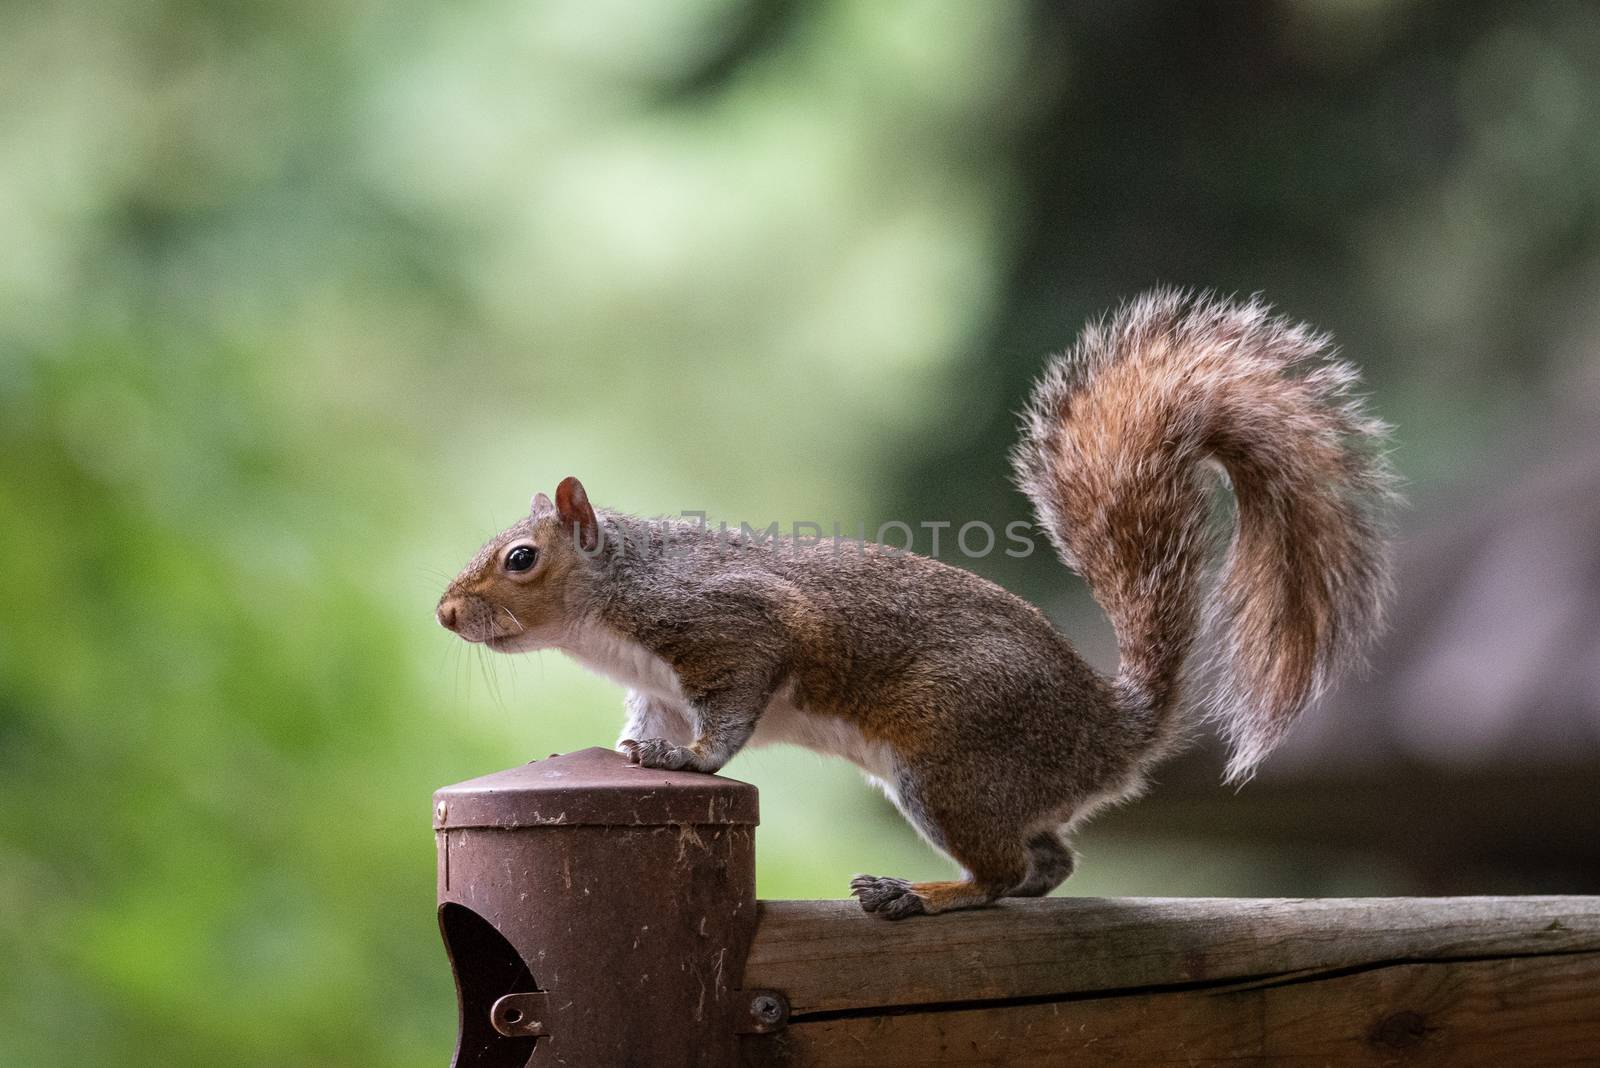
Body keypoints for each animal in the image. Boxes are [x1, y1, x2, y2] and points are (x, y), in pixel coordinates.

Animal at [435, 289, 1388, 920]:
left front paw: (691, 762)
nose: (444, 614)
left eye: (520, 559)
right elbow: (649, 721)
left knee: (999, 872)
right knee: (1050, 859)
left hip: (953, 760)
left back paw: (920, 892)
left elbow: (731, 716)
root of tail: (1108, 732)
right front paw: (639, 750)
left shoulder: (731, 626)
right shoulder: (657, 683)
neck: (616, 602)